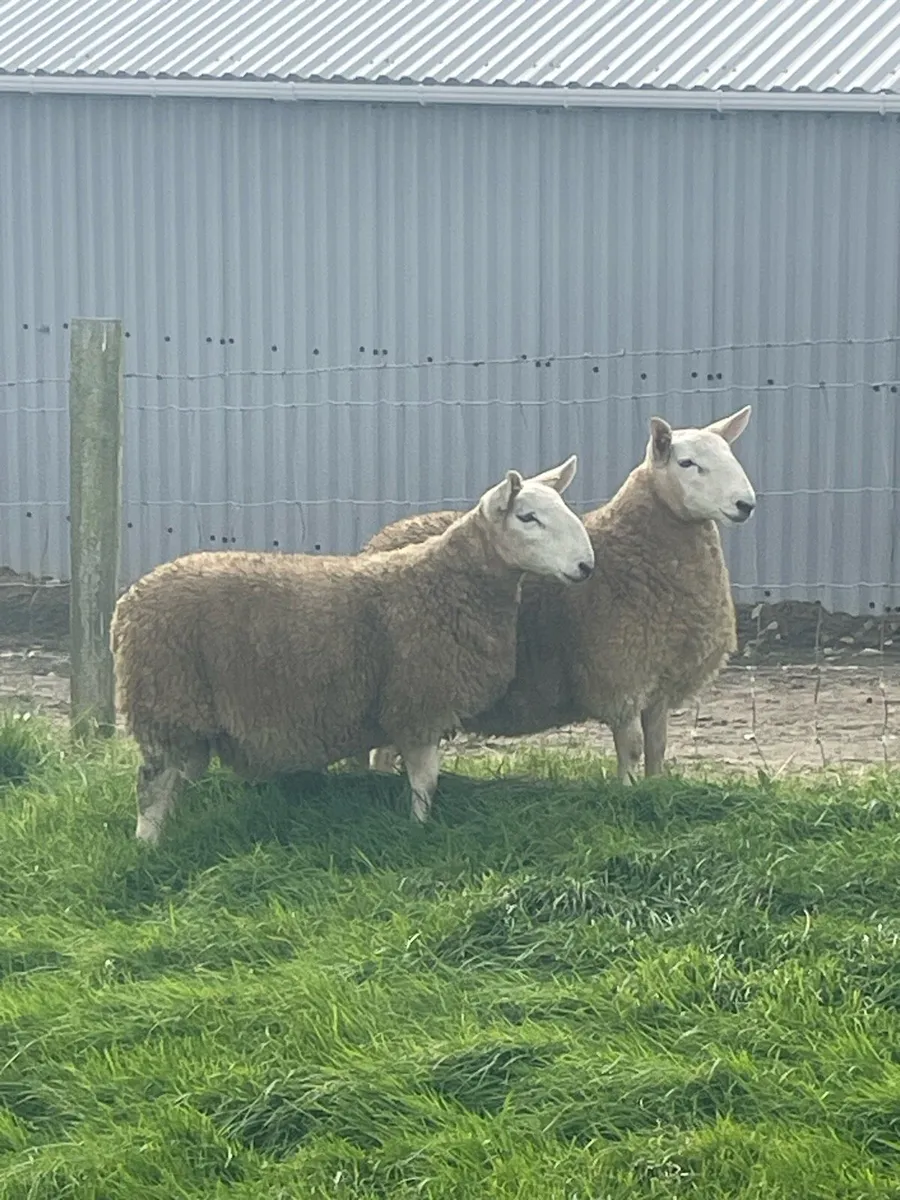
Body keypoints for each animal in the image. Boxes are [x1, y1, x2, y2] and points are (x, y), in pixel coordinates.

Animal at [110, 456, 595, 843]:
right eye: (528, 517)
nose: (586, 566)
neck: (444, 583)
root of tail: (129, 602)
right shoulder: (420, 703)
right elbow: (425, 782)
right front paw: (419, 830)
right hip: (167, 702)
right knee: (151, 786)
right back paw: (149, 847)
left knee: (172, 781)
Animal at [360, 407, 756, 781]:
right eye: (686, 463)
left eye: (729, 454)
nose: (746, 505)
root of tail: (382, 537)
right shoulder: (620, 679)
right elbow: (631, 748)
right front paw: (629, 792)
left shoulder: (658, 683)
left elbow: (657, 747)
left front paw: (655, 788)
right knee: (380, 751)